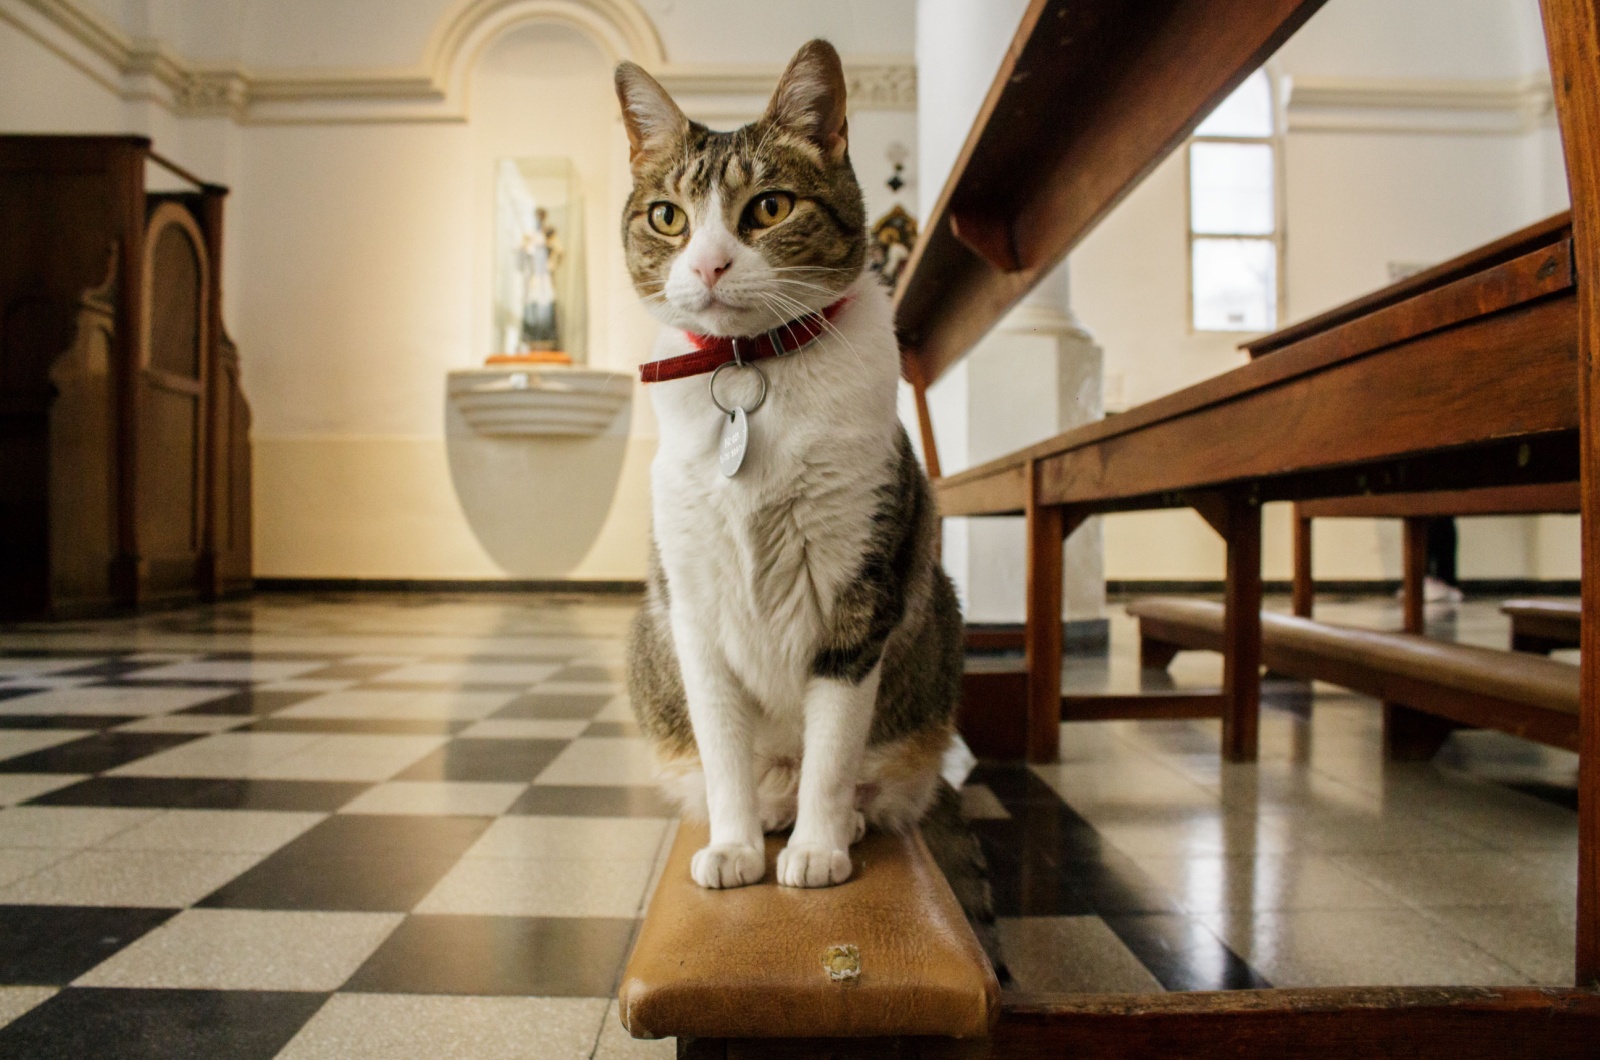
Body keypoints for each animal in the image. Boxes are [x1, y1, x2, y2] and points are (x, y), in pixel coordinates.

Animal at [611, 39, 960, 890]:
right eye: (668, 217)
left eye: (769, 208)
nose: (708, 266)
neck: (750, 369)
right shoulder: (693, 607)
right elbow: (724, 751)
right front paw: (736, 847)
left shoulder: (858, 595)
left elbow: (830, 754)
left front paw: (818, 849)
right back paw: (767, 814)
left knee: (860, 776)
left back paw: (843, 820)